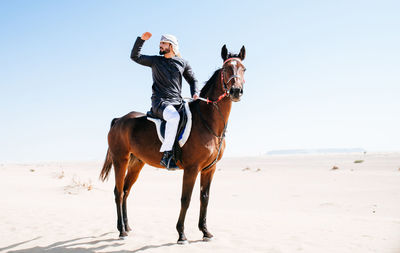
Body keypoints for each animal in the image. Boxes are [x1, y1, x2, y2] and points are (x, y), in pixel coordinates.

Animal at [98, 44, 245, 244]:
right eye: (226, 69)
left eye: (243, 69)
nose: (236, 91)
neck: (207, 120)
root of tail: (119, 120)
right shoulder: (192, 168)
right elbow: (186, 199)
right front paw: (181, 234)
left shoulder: (209, 169)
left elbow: (204, 198)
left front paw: (205, 231)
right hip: (120, 160)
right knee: (118, 192)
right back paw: (121, 230)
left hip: (136, 163)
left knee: (126, 191)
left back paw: (127, 227)